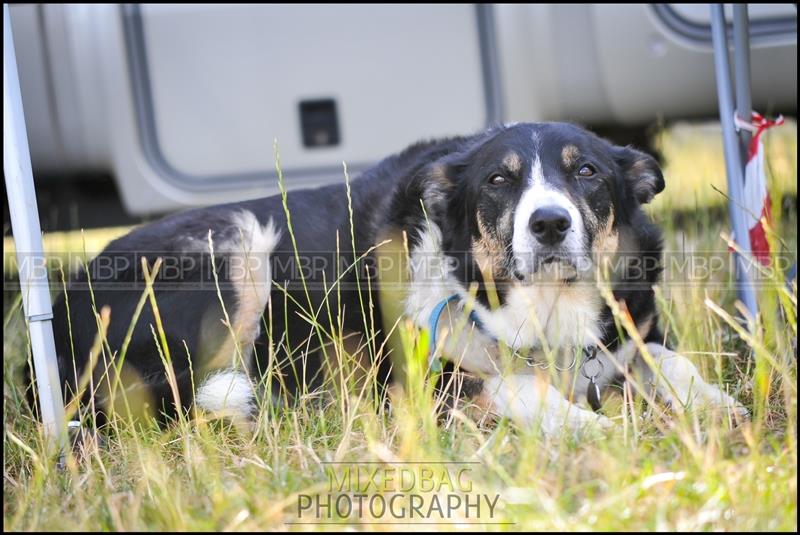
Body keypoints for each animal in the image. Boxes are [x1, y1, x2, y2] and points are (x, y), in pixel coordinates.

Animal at [40, 121, 748, 436]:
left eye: (588, 172)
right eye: (499, 179)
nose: (549, 223)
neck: (547, 308)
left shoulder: (632, 333)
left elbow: (668, 361)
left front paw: (719, 406)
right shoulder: (433, 387)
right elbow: (520, 389)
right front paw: (597, 431)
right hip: (238, 246)